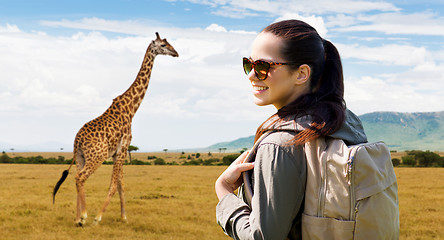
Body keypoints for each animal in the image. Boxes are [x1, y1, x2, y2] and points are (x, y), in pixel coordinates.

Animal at [52, 32, 177, 227]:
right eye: (163, 45)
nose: (176, 53)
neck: (131, 108)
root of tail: (77, 140)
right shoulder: (123, 148)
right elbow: (113, 185)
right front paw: (98, 217)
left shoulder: (118, 152)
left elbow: (120, 184)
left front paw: (124, 217)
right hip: (97, 156)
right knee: (80, 177)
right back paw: (85, 216)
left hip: (80, 157)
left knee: (77, 177)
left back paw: (77, 218)